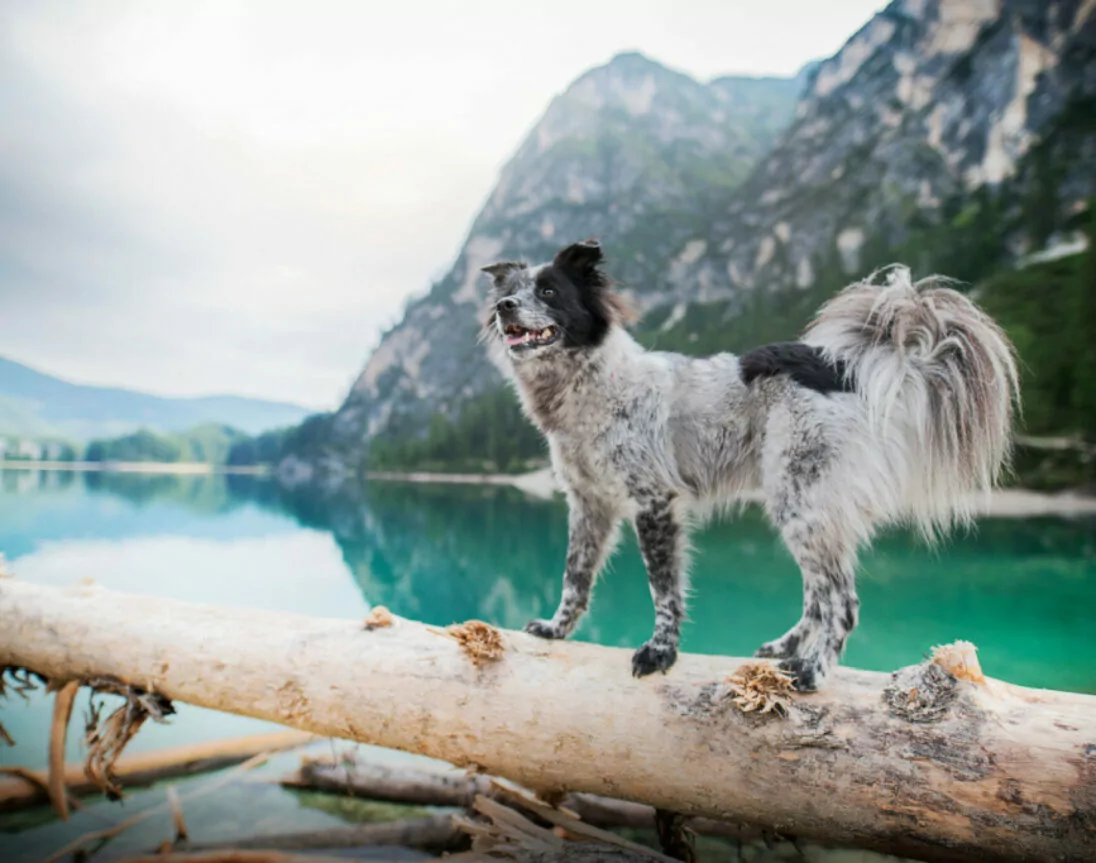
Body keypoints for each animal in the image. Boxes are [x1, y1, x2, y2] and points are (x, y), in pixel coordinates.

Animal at [480, 240, 1017, 693]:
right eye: (509, 292)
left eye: (549, 291)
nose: (504, 307)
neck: (591, 382)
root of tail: (845, 368)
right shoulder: (588, 504)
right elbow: (575, 575)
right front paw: (556, 629)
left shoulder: (655, 503)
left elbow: (663, 591)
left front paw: (660, 652)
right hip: (806, 507)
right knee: (818, 594)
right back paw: (786, 648)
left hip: (801, 502)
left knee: (842, 603)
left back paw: (813, 671)